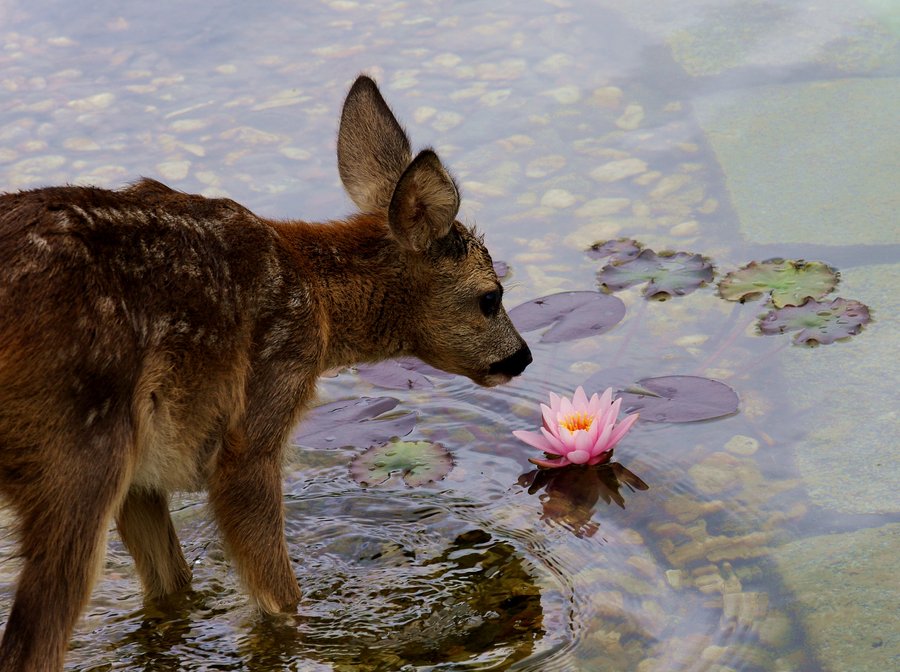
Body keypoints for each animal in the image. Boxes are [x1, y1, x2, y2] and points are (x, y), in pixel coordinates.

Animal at [0, 75, 532, 672]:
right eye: (491, 297)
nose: (522, 356)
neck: (320, 300)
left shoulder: (143, 477)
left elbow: (172, 585)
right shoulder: (257, 416)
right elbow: (279, 596)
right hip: (78, 455)